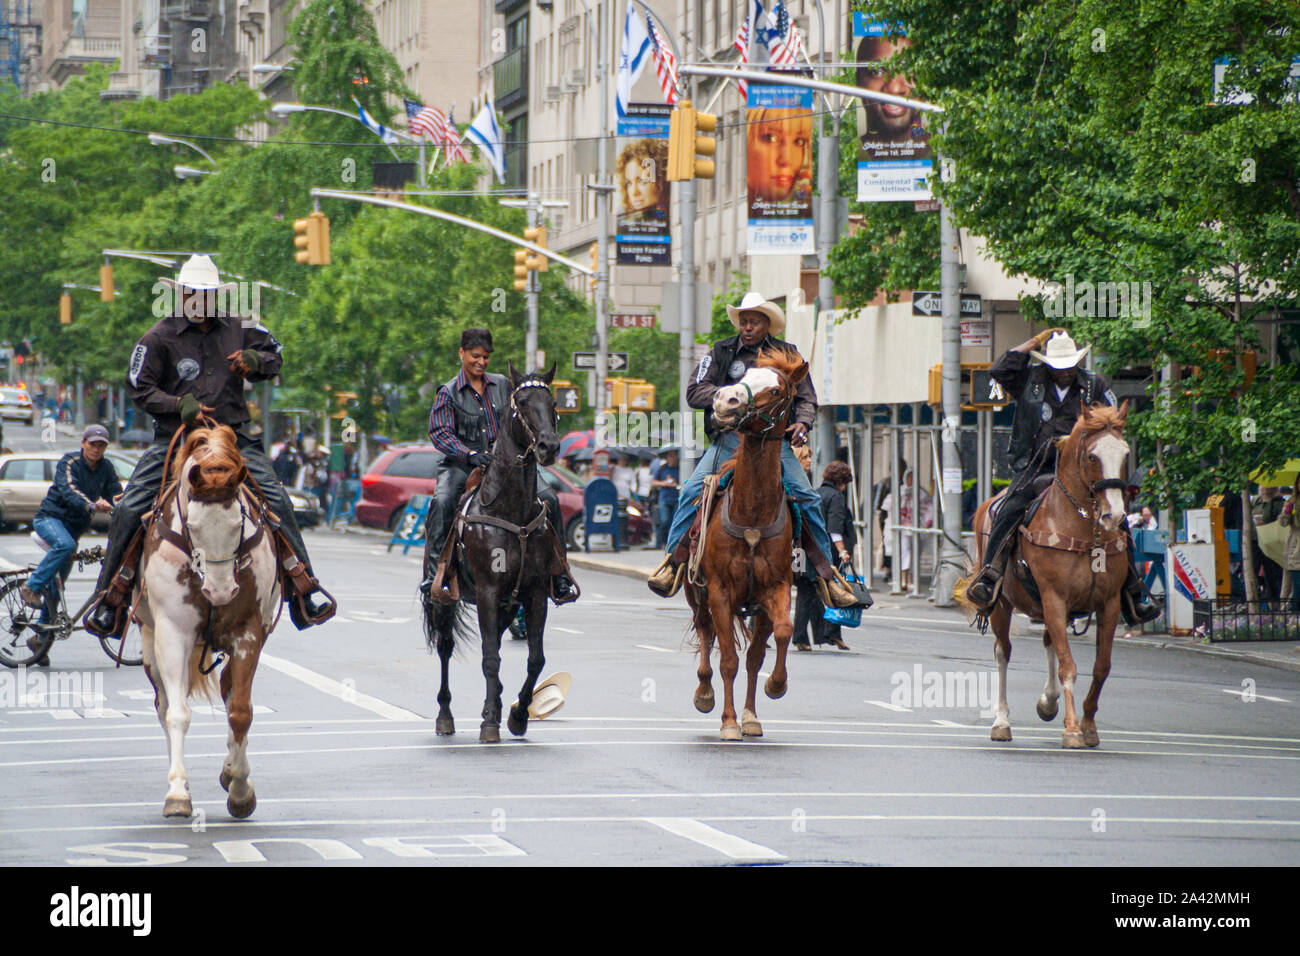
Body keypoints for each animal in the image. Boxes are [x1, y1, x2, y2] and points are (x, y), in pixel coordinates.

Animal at [135, 429, 278, 816]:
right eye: (193, 526)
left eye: (238, 522)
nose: (221, 590)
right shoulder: (172, 633)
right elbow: (177, 714)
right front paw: (178, 793)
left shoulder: (247, 633)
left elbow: (240, 710)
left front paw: (240, 788)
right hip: (151, 643)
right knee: (165, 706)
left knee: (229, 692)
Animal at [426, 361, 564, 743]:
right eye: (522, 403)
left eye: (553, 403)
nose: (548, 446)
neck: (510, 510)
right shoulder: (487, 591)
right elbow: (489, 658)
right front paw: (489, 721)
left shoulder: (534, 593)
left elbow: (535, 659)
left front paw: (517, 714)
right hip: (446, 599)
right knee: (445, 648)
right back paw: (445, 716)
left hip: (508, 603)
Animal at [686, 348, 806, 743]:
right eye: (744, 376)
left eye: (777, 389)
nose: (725, 400)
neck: (752, 511)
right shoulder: (720, 592)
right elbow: (728, 660)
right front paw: (728, 721)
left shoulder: (776, 589)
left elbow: (772, 642)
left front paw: (773, 689)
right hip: (698, 596)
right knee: (706, 634)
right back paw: (704, 693)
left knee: (752, 651)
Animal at [961, 400, 1133, 749]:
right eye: (1092, 456)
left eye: (1125, 454)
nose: (1115, 515)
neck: (1085, 530)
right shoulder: (1055, 598)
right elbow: (1068, 666)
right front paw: (1072, 728)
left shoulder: (1108, 604)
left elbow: (1101, 667)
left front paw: (1088, 725)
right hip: (1003, 605)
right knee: (1003, 652)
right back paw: (1002, 722)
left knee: (1048, 642)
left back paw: (1048, 701)